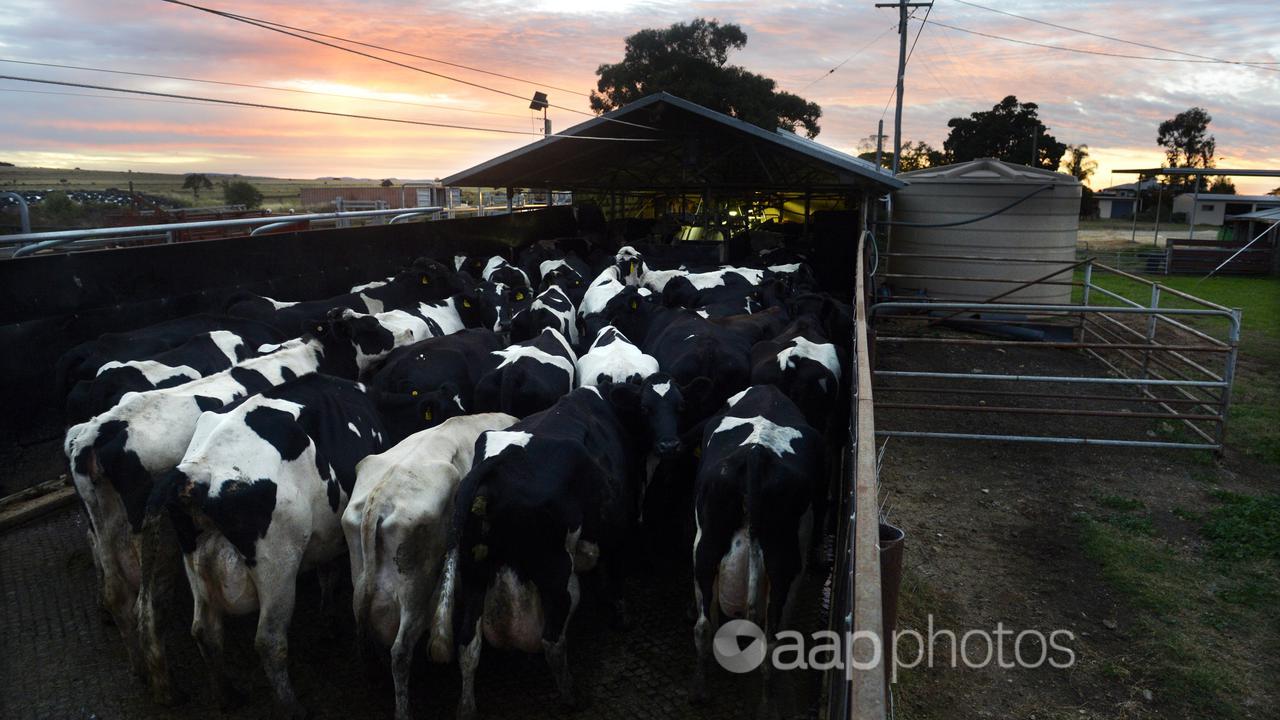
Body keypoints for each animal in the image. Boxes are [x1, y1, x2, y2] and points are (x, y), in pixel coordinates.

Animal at [146, 371, 384, 712]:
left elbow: (327, 574)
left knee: (203, 629)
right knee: (270, 642)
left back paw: (227, 695)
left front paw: (328, 622)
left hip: (192, 557)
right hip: (277, 564)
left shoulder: (325, 537)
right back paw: (292, 708)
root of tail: (197, 472)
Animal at [450, 376, 691, 717]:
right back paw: (569, 696)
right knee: (551, 639)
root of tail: (496, 465)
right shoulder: (620, 525)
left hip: (473, 569)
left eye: (681, 406)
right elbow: (616, 571)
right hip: (554, 569)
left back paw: (467, 707)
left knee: (468, 643)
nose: (669, 445)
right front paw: (621, 615)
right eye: (646, 408)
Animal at [691, 384, 819, 707]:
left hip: (705, 547)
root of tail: (755, 454)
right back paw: (765, 704)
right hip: (786, 563)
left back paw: (702, 689)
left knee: (703, 625)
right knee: (773, 642)